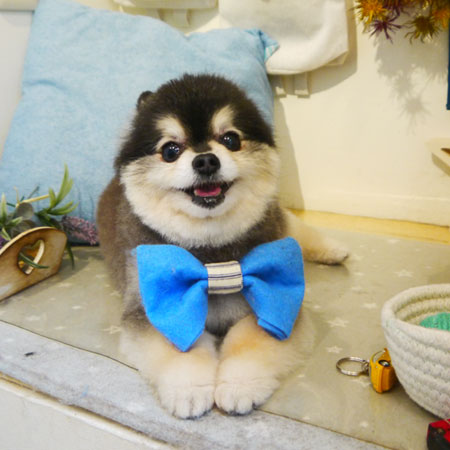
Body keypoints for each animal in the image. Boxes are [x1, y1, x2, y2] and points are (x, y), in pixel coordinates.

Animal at [97, 74, 348, 419]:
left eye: (230, 139)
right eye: (170, 150)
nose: (205, 160)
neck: (210, 253)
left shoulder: (278, 302)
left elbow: (250, 340)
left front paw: (239, 385)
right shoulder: (153, 307)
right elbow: (179, 347)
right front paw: (188, 390)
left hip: (280, 224)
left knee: (294, 226)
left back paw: (333, 249)